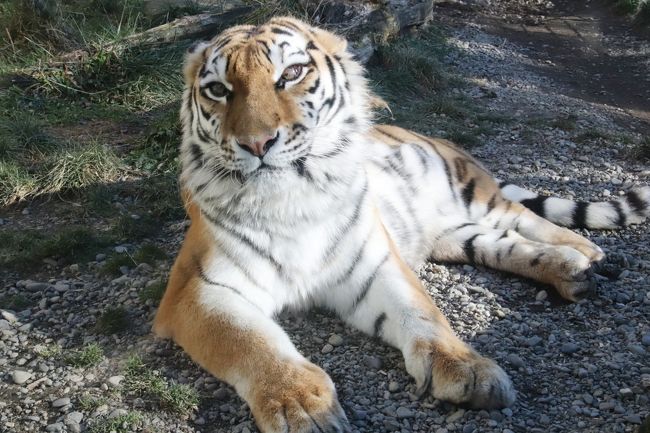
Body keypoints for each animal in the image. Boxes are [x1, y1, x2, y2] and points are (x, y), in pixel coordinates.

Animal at [153, 16, 648, 432]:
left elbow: (423, 315)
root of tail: (446, 141)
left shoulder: (372, 264)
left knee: (524, 217)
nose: (257, 143)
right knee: (506, 244)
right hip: (457, 236)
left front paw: (468, 369)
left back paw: (587, 253)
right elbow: (249, 342)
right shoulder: (195, 291)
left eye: (291, 74)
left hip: (475, 195)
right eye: (218, 89)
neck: (292, 199)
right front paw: (301, 406)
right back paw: (571, 272)